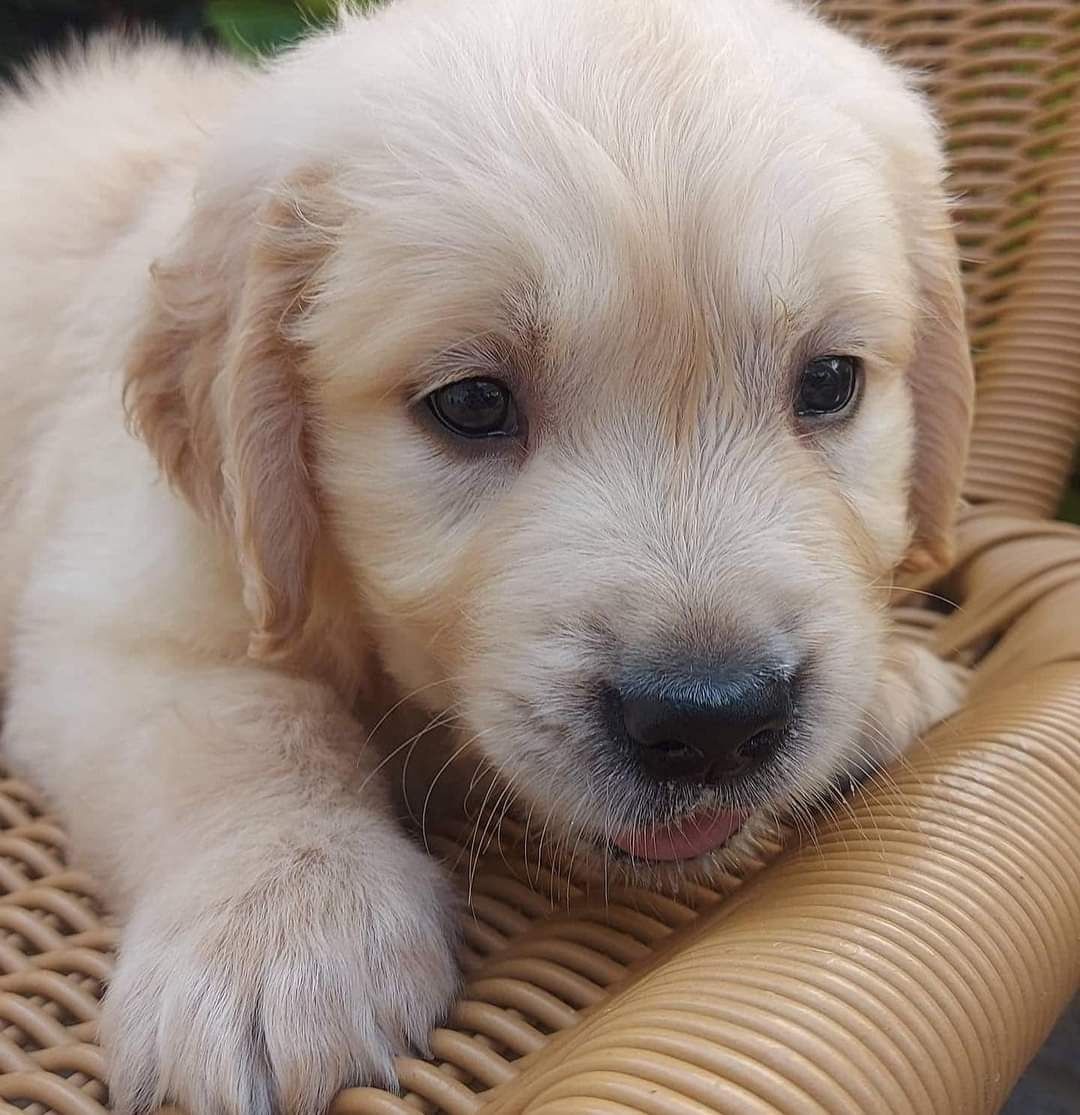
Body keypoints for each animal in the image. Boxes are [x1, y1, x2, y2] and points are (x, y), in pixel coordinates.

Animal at [2, 0, 967, 1110]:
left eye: (831, 382)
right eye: (469, 403)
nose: (712, 720)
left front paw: (890, 675)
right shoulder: (123, 615)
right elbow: (245, 729)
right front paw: (279, 935)